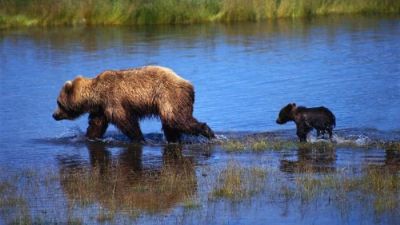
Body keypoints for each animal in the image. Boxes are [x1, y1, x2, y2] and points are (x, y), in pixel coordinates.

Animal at [54, 65, 216, 142]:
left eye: (59, 103)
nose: (54, 115)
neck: (96, 94)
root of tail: (189, 84)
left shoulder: (114, 100)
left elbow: (127, 122)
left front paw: (140, 138)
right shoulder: (101, 108)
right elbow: (96, 125)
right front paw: (88, 137)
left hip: (169, 96)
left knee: (177, 119)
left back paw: (208, 132)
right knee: (170, 125)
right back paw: (173, 139)